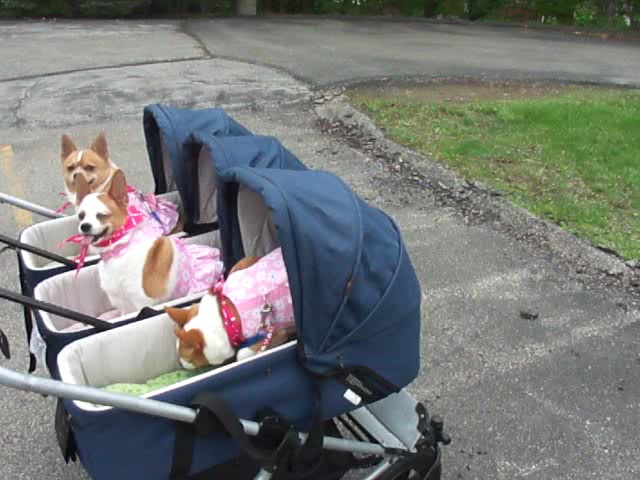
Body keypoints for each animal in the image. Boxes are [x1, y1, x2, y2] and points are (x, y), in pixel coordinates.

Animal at [73, 169, 224, 316]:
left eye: (102, 215)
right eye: (81, 216)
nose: (84, 226)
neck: (119, 250)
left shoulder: (141, 303)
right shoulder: (124, 306)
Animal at [165, 248, 296, 368]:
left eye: (188, 359)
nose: (180, 364)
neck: (225, 318)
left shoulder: (274, 333)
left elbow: (241, 354)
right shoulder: (243, 263)